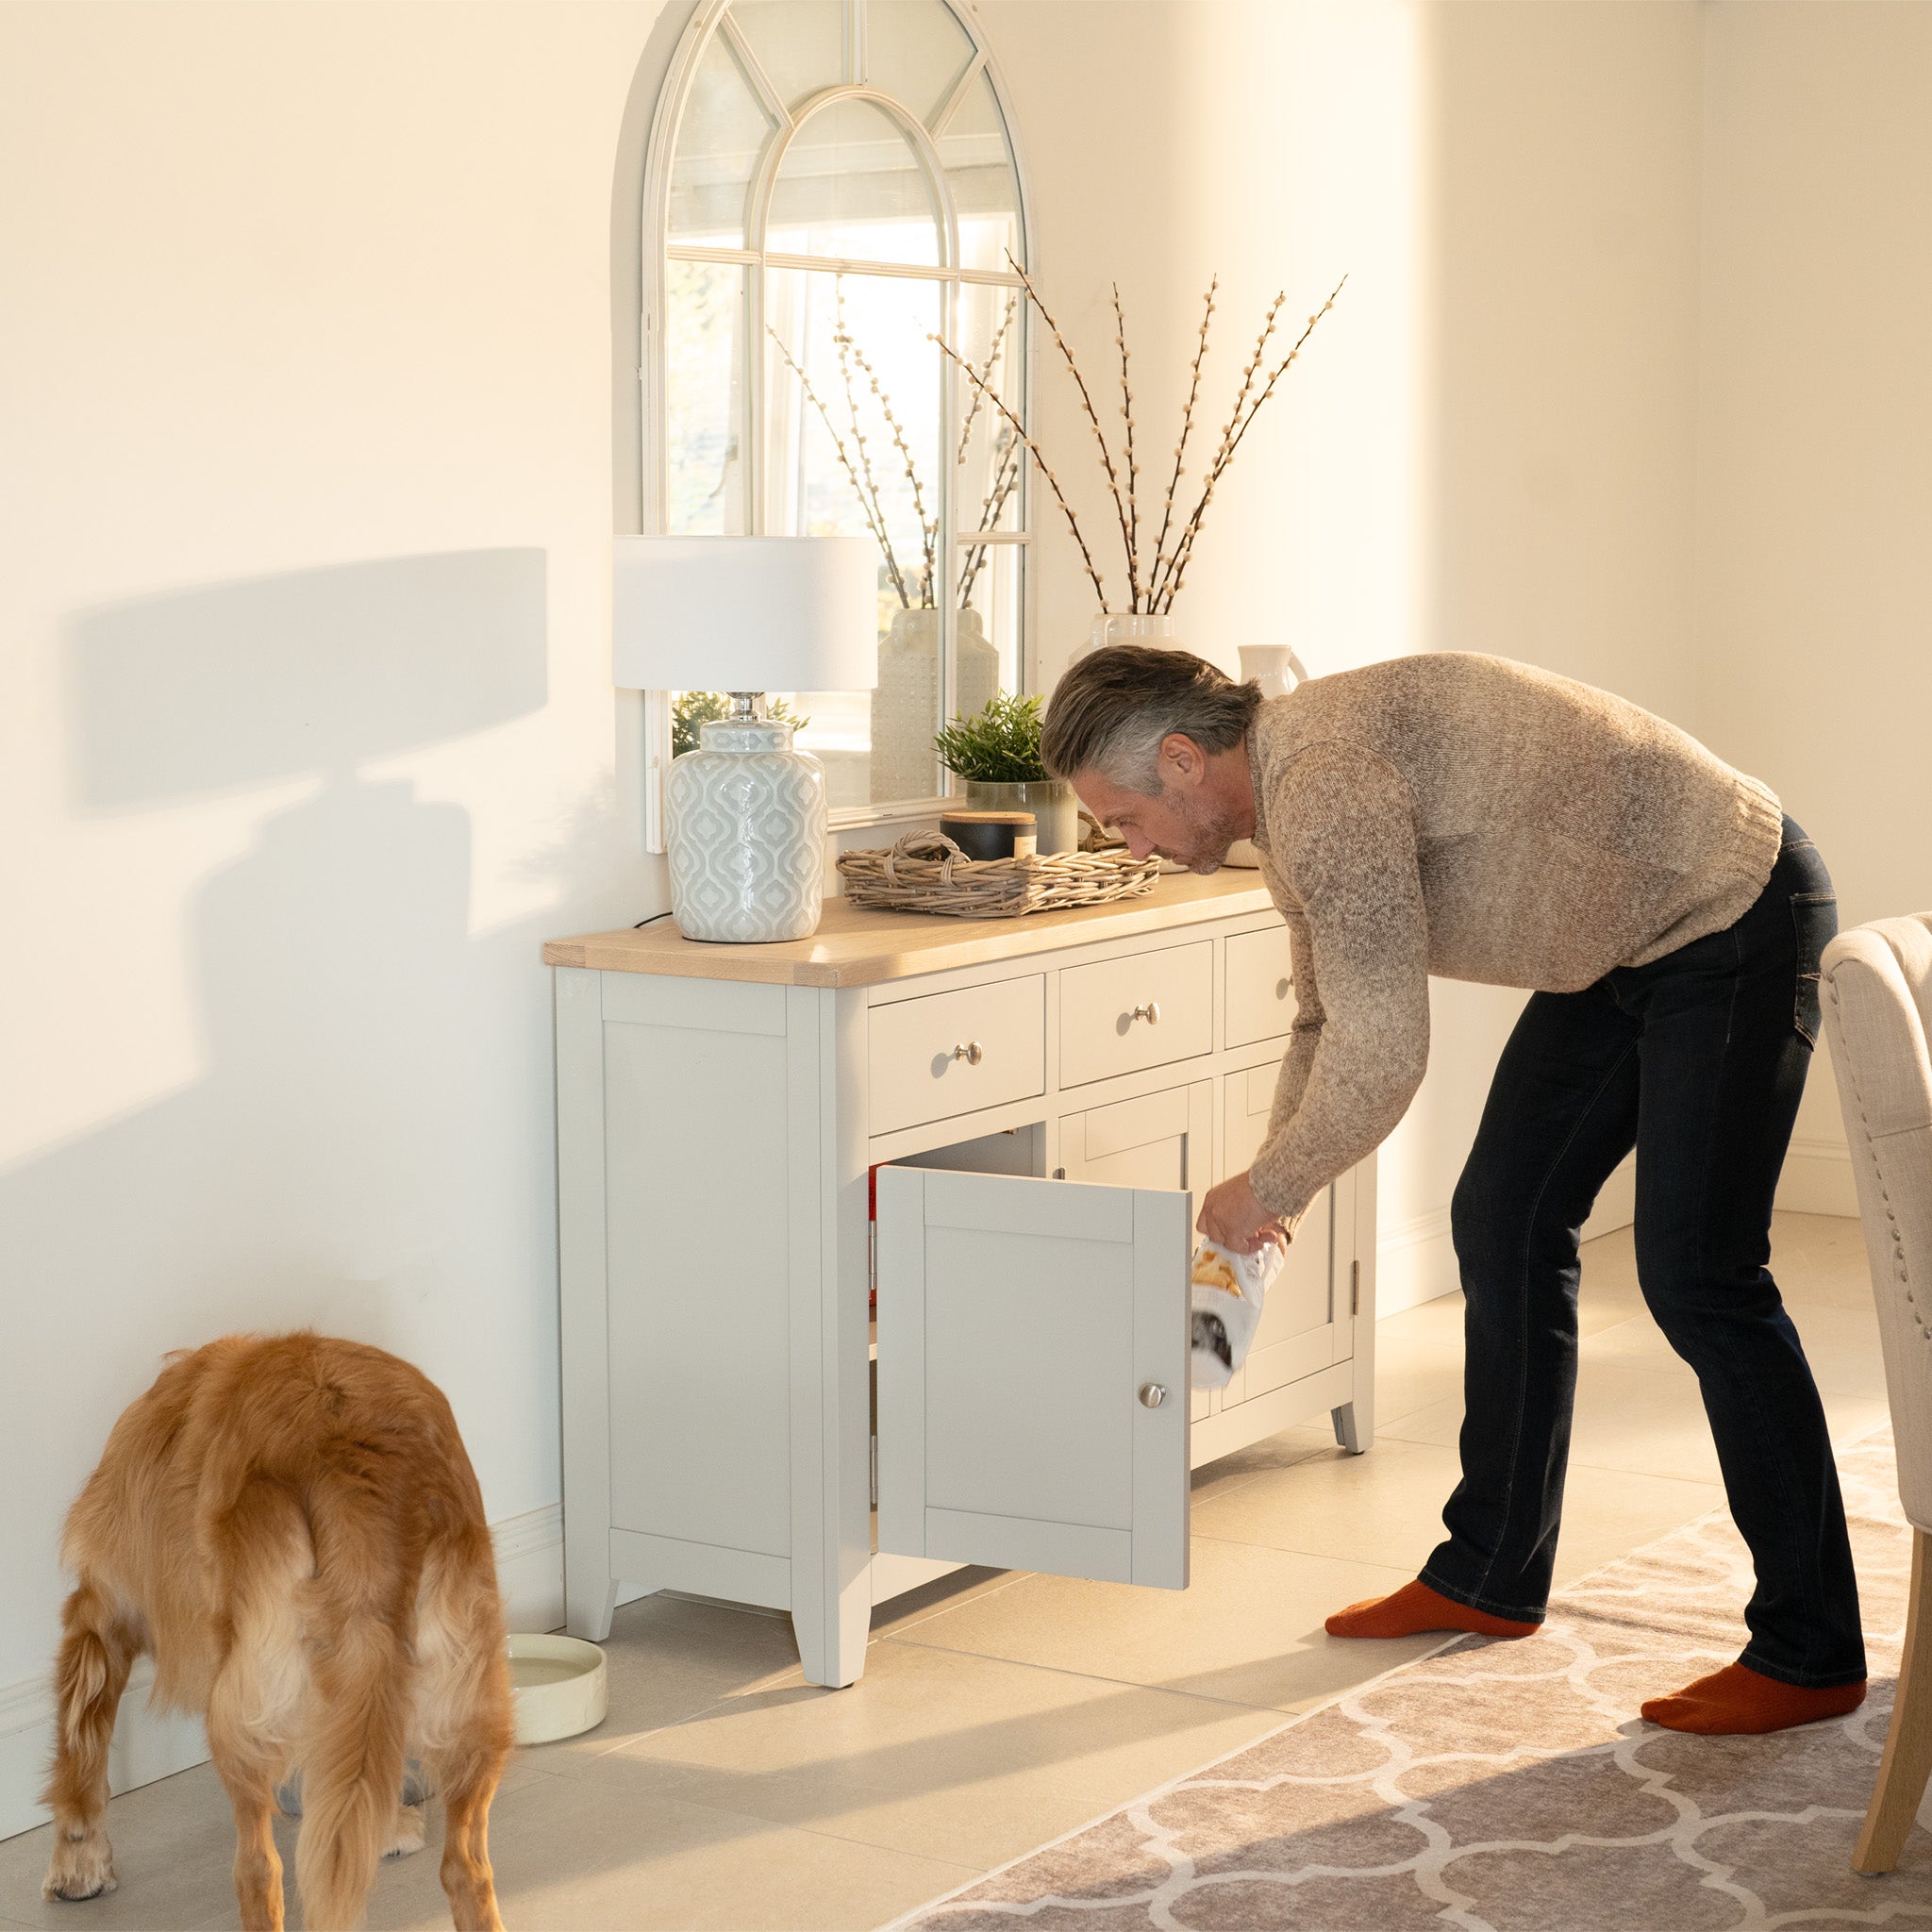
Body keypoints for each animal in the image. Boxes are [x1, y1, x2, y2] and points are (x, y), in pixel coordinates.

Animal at [45, 1337, 513, 1924]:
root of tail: (358, 1471)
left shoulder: (103, 1606)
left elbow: (80, 1744)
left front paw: (77, 1863)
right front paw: (392, 1831)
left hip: (239, 1709)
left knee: (258, 1870)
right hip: (473, 1701)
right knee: (465, 1867)